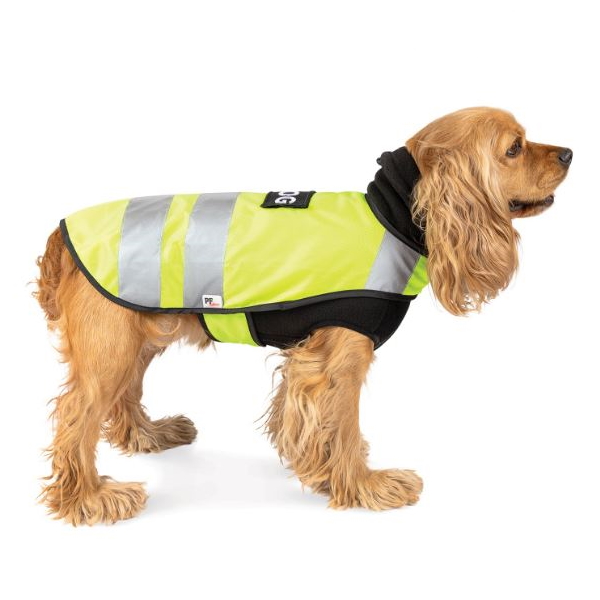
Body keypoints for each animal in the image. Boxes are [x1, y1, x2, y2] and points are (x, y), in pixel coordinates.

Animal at [35, 107, 572, 525]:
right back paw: (89, 498)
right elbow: (345, 426)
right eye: (514, 148)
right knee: (78, 414)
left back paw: (150, 435)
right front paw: (367, 486)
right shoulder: (340, 357)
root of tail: (62, 230)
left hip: (141, 332)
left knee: (123, 394)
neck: (393, 214)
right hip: (110, 343)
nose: (568, 153)